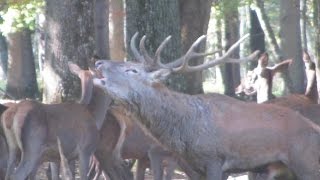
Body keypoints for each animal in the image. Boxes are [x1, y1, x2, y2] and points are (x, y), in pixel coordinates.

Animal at [92, 32, 320, 180]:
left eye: (132, 70)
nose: (98, 62)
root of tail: (314, 129)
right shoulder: (193, 167)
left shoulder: (215, 159)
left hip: (305, 161)